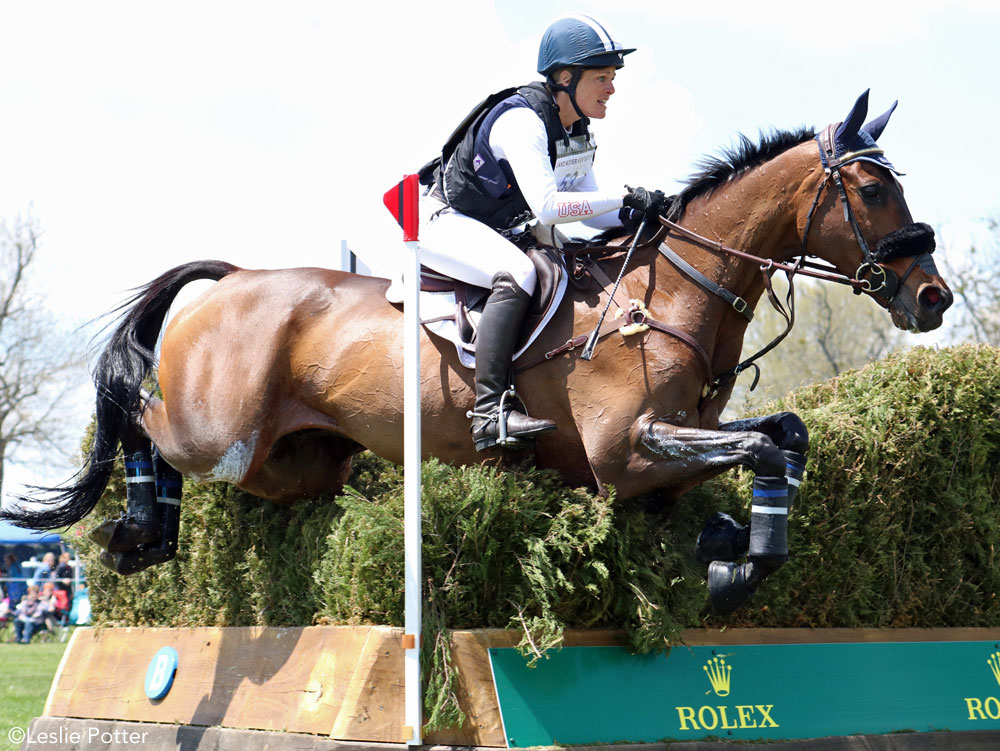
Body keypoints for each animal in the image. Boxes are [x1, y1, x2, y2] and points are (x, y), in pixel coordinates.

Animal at [1, 92, 952, 612]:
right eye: (872, 188)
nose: (932, 296)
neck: (675, 290)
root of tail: (236, 279)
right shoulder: (626, 450)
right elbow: (758, 444)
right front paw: (738, 564)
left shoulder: (667, 447)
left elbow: (781, 436)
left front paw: (733, 552)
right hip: (217, 431)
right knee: (140, 419)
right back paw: (132, 531)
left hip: (293, 464)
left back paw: (151, 530)